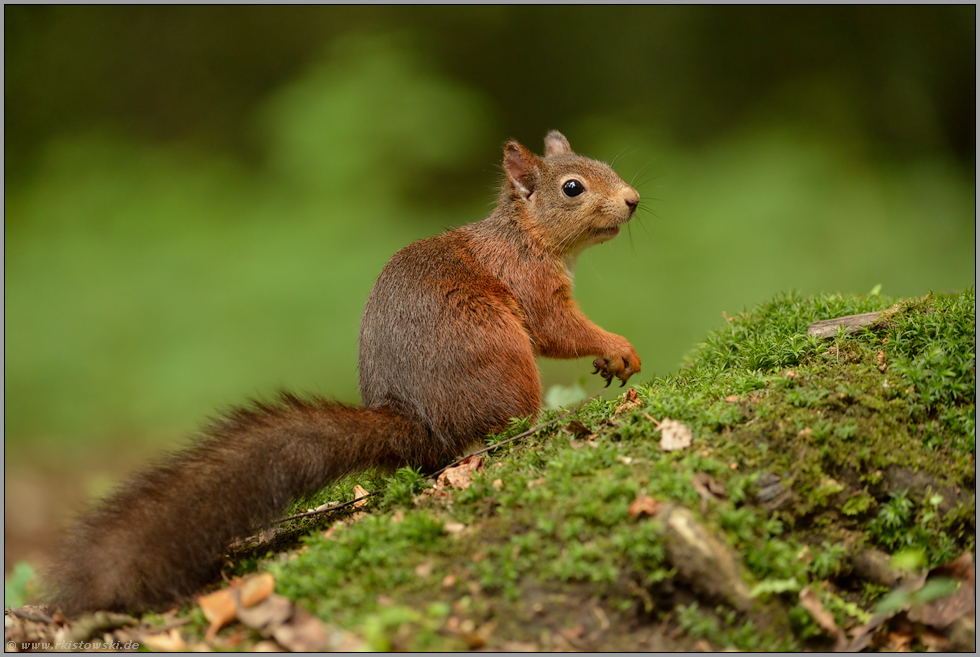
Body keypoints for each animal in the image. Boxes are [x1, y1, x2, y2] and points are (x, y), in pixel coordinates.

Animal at [44, 131, 644, 612]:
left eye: (604, 166)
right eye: (572, 188)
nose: (634, 200)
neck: (525, 236)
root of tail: (420, 425)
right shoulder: (530, 283)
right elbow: (557, 329)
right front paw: (618, 346)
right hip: (501, 359)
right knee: (497, 432)